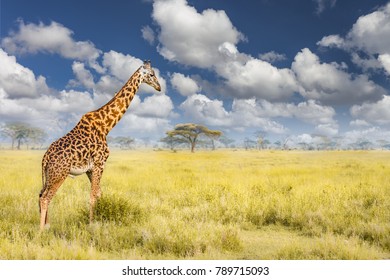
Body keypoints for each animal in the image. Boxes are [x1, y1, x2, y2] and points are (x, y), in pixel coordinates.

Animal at [38, 60, 161, 229]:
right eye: (152, 74)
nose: (159, 87)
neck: (106, 126)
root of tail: (45, 158)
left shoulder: (91, 169)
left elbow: (98, 193)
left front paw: (99, 220)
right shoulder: (99, 163)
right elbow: (93, 196)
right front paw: (92, 225)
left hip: (50, 175)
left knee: (41, 195)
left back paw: (48, 226)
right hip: (59, 174)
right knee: (45, 198)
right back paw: (41, 231)